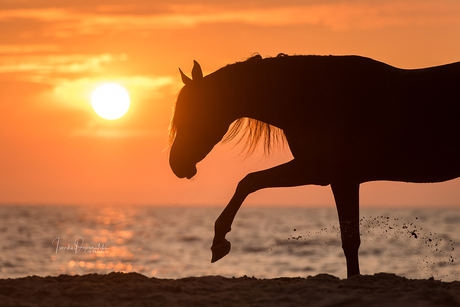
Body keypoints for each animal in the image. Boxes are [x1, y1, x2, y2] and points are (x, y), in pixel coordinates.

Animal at [168, 54, 460, 278]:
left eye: (194, 113)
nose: (176, 165)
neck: (316, 97)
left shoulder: (326, 173)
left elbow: (248, 181)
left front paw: (219, 241)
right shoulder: (335, 177)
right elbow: (349, 240)